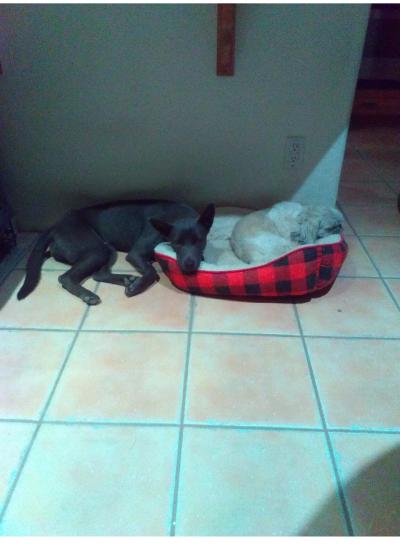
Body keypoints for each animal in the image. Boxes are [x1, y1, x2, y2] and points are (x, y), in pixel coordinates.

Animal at [18, 200, 216, 304]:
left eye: (200, 241)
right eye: (176, 244)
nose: (189, 265)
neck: (175, 217)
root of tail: (55, 225)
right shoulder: (136, 253)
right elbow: (152, 272)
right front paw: (138, 287)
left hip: (107, 248)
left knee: (99, 275)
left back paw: (126, 279)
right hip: (96, 249)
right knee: (65, 278)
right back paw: (88, 295)